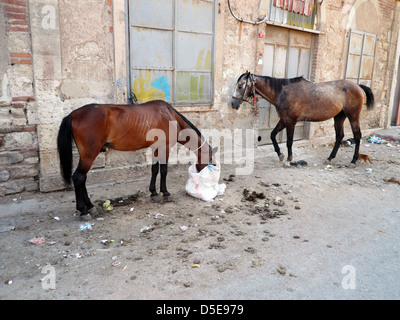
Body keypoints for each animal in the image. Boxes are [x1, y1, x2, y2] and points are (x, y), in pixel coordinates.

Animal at [57, 99, 216, 216]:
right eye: (210, 161)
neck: (170, 116)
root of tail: (72, 115)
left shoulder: (156, 148)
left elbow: (154, 170)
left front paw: (153, 193)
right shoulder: (164, 148)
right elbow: (164, 170)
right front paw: (165, 192)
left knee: (82, 178)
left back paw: (89, 205)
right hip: (89, 154)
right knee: (78, 177)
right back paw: (83, 210)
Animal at [231, 71, 376, 166]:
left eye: (240, 85)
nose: (232, 103)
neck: (283, 93)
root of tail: (358, 86)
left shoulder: (291, 122)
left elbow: (289, 141)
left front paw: (289, 159)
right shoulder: (284, 120)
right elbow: (272, 135)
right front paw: (280, 154)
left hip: (353, 116)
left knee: (357, 136)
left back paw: (353, 160)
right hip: (339, 117)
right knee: (339, 136)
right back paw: (330, 158)